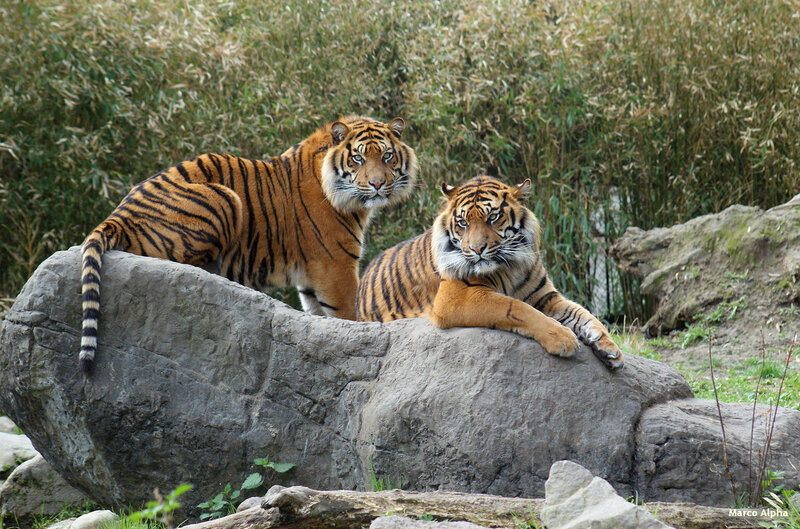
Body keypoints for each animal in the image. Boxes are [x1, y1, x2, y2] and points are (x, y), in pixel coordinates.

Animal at [79, 116, 418, 373]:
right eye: (358, 158)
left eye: (387, 156)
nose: (377, 184)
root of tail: (118, 214)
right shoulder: (336, 268)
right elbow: (351, 319)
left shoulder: (312, 281)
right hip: (225, 198)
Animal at [356, 175, 623, 371]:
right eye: (462, 223)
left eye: (493, 218)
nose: (477, 249)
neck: (511, 265)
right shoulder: (455, 297)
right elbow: (515, 308)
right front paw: (562, 338)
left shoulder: (547, 298)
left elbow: (584, 315)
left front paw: (611, 349)